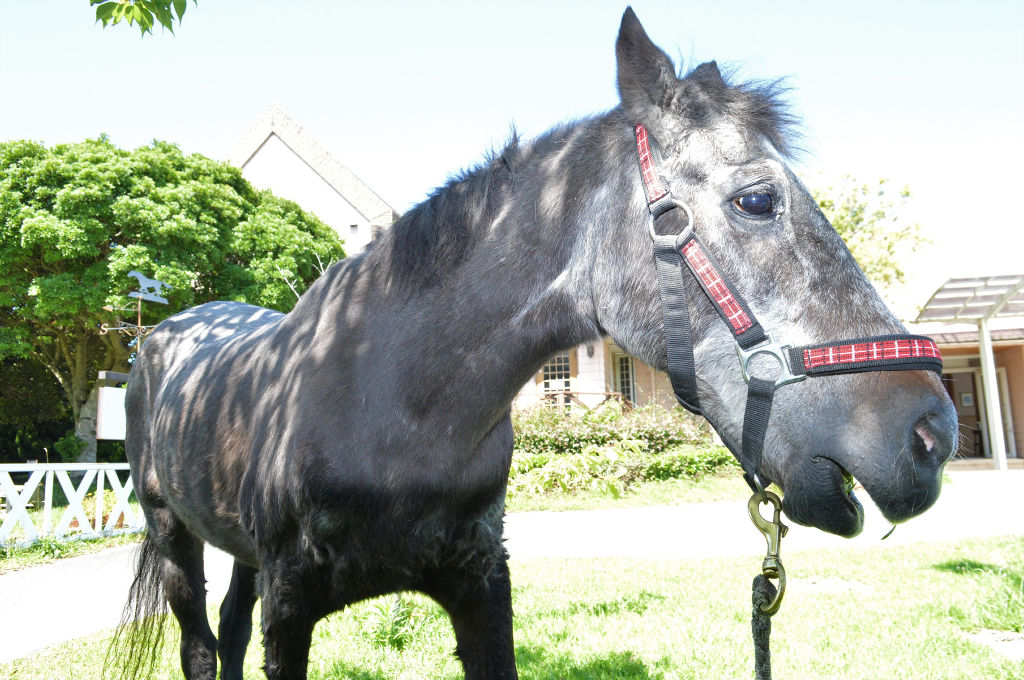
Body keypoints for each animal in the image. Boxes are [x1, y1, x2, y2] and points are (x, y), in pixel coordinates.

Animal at [114, 6, 958, 680]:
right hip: (174, 537)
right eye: (756, 200)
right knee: (200, 644)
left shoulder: (483, 585)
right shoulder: (290, 605)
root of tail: (163, 332)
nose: (933, 433)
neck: (388, 403)